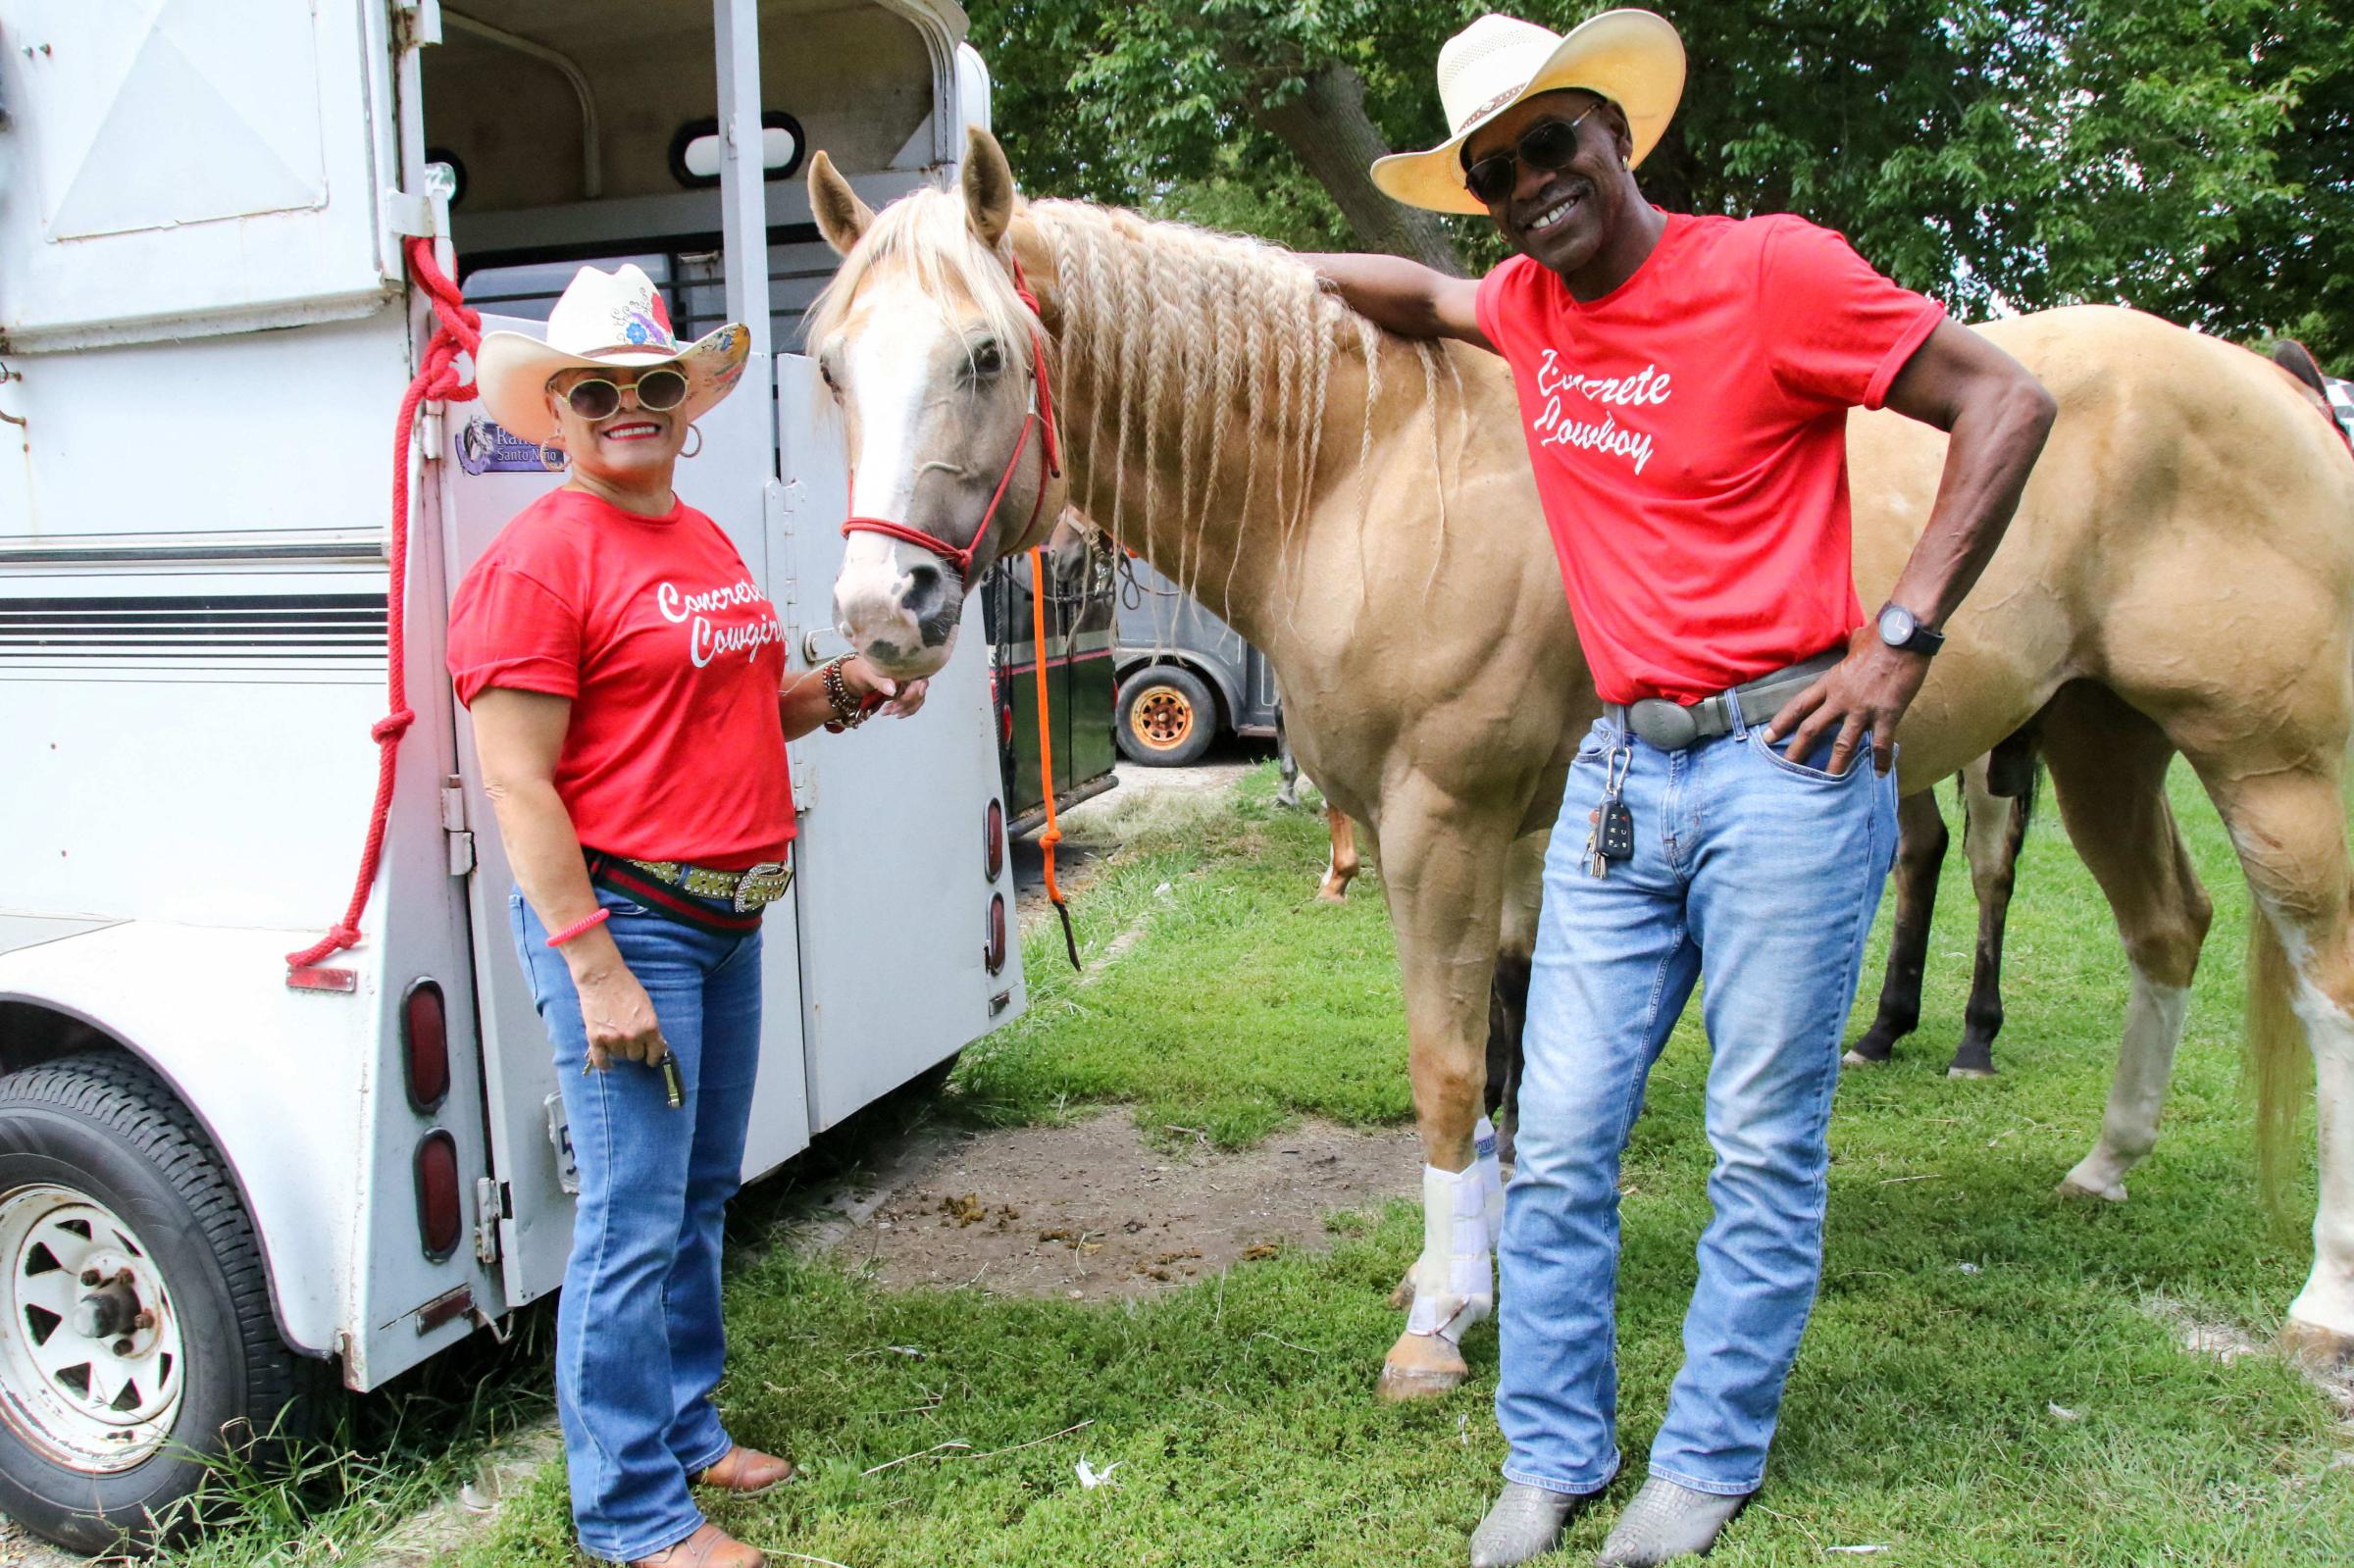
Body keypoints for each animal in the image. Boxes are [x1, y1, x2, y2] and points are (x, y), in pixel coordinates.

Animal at [804, 127, 2354, 1384]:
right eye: (828, 367)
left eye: (984, 355)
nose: (885, 616)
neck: (1372, 471)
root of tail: (2278, 389)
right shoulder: (1519, 837)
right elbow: (1509, 1063)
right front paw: (1471, 1277)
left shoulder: (1441, 825)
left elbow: (1448, 1069)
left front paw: (1437, 1329)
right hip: (2105, 737)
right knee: (2168, 926)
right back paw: (2106, 1164)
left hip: (2274, 768)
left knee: (2324, 986)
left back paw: (2321, 1305)